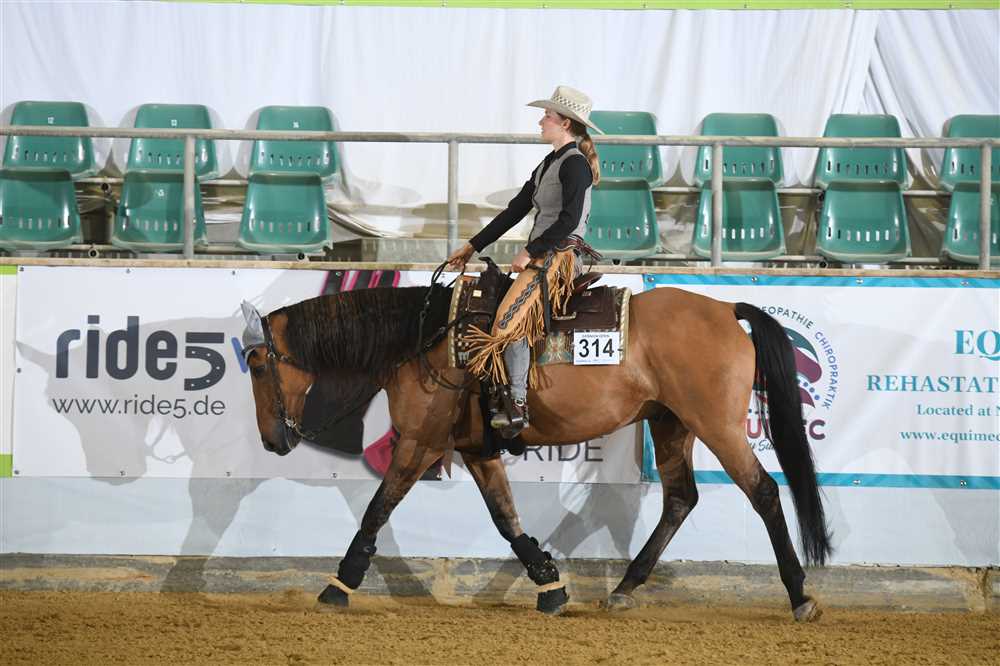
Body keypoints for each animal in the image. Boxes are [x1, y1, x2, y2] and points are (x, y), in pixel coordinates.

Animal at [239, 277, 833, 621]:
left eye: (257, 363)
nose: (271, 440)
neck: (424, 338)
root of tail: (726, 309)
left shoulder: (421, 443)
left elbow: (377, 507)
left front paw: (339, 582)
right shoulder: (476, 449)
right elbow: (506, 518)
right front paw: (550, 584)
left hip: (716, 425)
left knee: (763, 491)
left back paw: (800, 595)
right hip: (670, 424)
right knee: (681, 499)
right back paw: (624, 587)